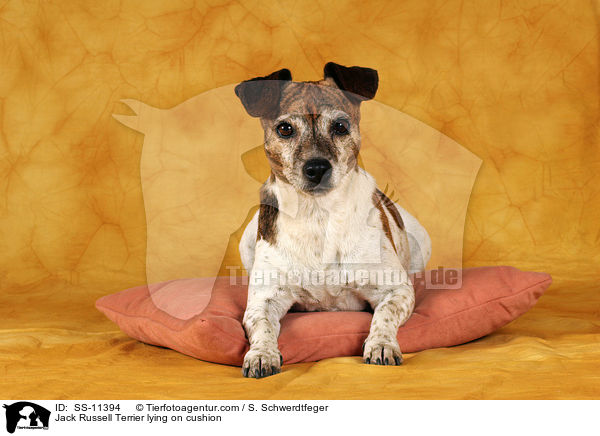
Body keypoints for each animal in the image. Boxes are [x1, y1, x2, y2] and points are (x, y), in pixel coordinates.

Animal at [234, 62, 432, 378]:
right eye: (284, 129)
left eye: (340, 126)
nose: (316, 168)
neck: (318, 215)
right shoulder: (263, 300)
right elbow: (262, 325)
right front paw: (261, 354)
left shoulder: (396, 290)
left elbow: (384, 315)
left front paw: (381, 344)